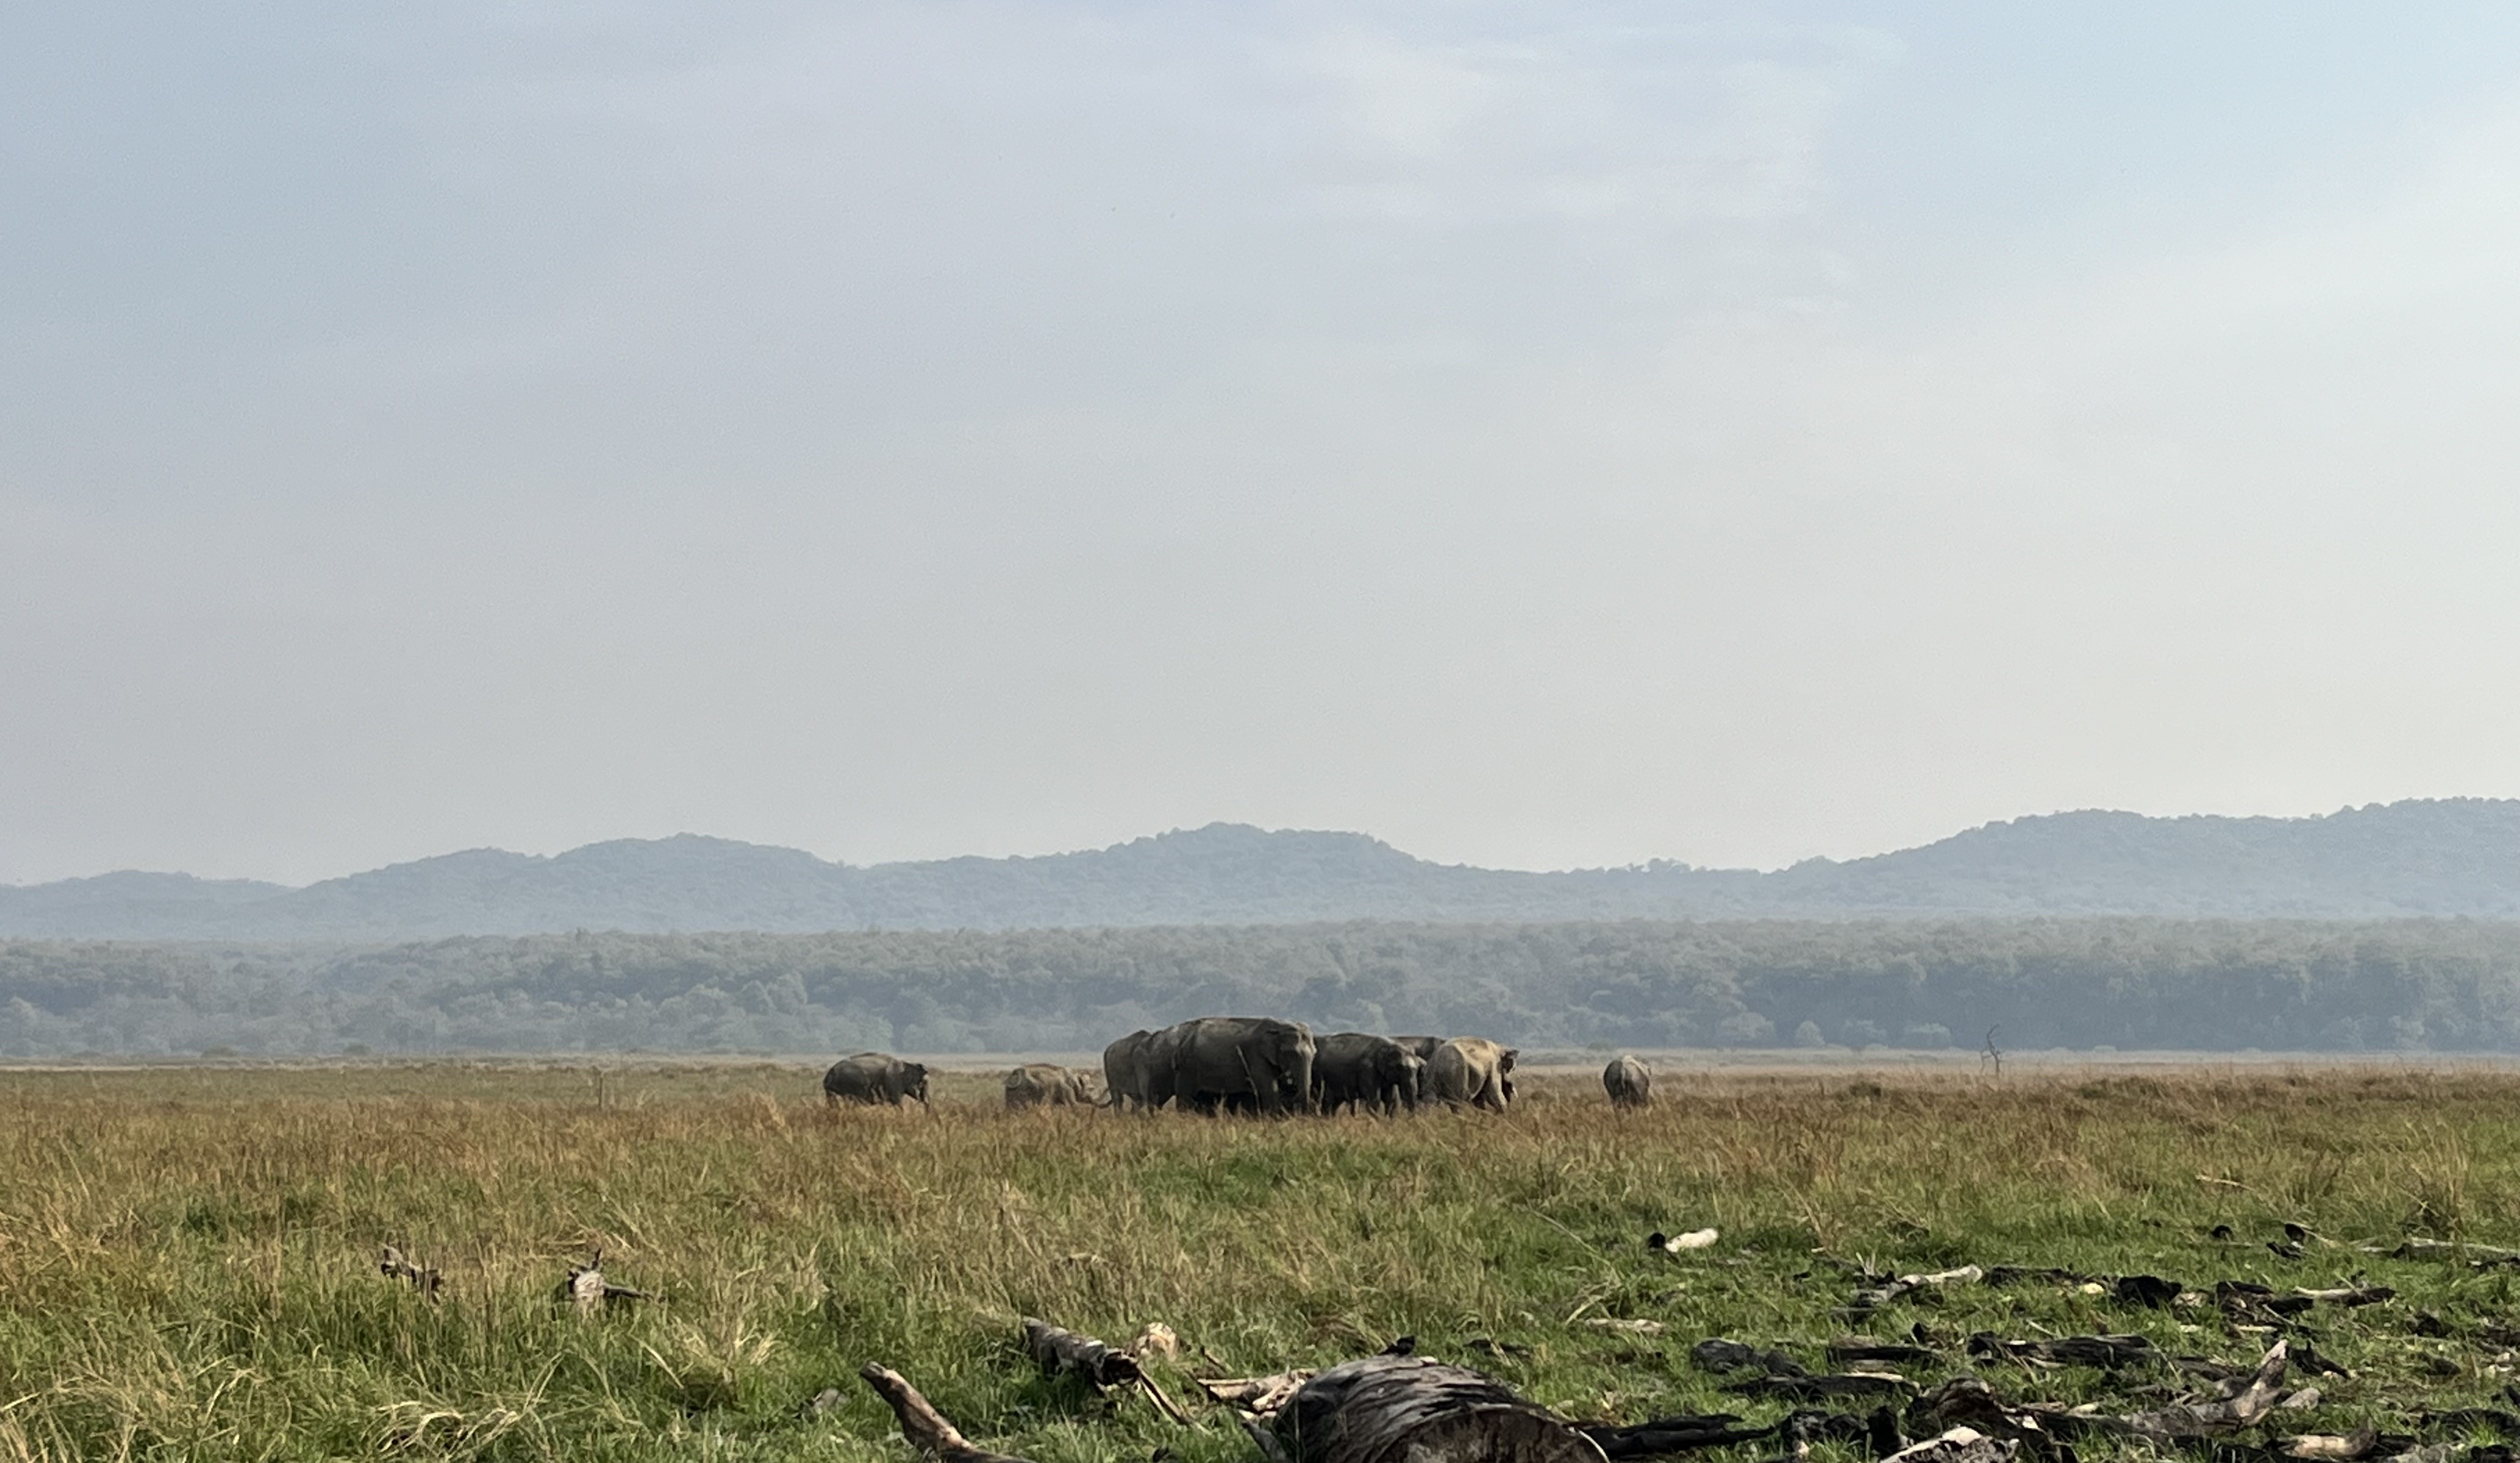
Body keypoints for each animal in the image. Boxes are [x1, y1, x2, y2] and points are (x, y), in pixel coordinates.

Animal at [1162, 1016, 1316, 1115]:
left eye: (1315, 1054)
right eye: (1290, 1053)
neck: (1279, 1026)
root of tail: (1183, 1039)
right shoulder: (1255, 1057)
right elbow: (1269, 1089)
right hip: (1188, 1068)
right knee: (1187, 1097)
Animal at [1311, 1032, 1423, 1115]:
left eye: (1418, 1068)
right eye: (1400, 1067)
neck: (1390, 1045)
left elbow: (1390, 1100)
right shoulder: (1368, 1070)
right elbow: (1375, 1100)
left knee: (1334, 1103)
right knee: (1326, 1100)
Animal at [1426, 1037, 1516, 1112]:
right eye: (1513, 1069)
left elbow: (1479, 1100)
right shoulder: (1495, 1065)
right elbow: (1493, 1095)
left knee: (1431, 1100)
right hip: (1458, 1073)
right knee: (1458, 1102)